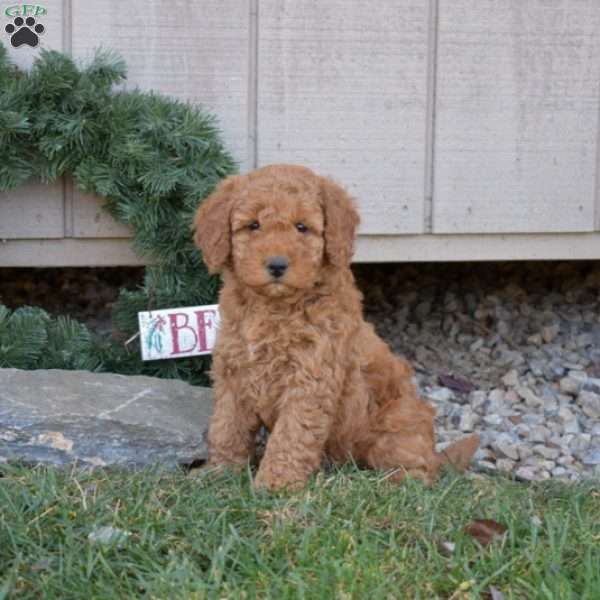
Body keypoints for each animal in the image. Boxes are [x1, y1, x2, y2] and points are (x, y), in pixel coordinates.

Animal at [192, 165, 478, 492]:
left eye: (302, 227)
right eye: (253, 225)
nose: (277, 265)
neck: (273, 308)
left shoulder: (310, 379)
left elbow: (291, 434)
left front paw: (275, 483)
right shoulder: (233, 374)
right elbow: (226, 427)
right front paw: (218, 472)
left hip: (398, 423)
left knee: (419, 470)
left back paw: (390, 484)